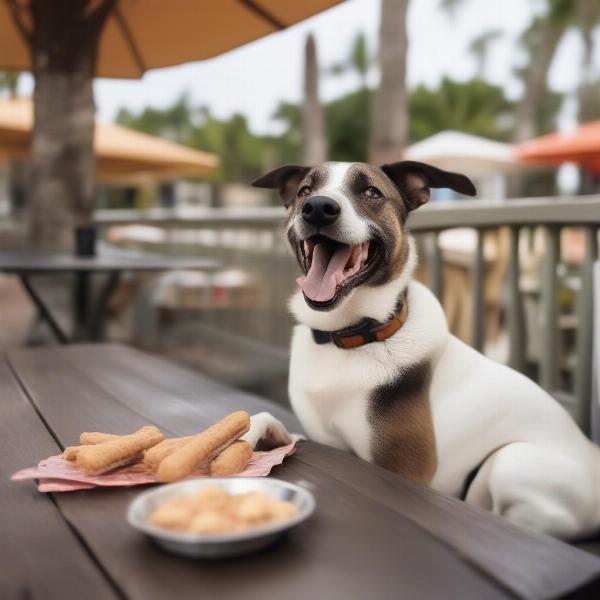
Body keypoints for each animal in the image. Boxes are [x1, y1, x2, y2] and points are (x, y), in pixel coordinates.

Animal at [240, 159, 600, 540]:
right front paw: (247, 435)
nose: (318, 207)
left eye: (371, 192)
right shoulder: (322, 440)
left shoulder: (406, 469)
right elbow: (266, 419)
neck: (352, 335)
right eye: (305, 191)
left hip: (510, 463)